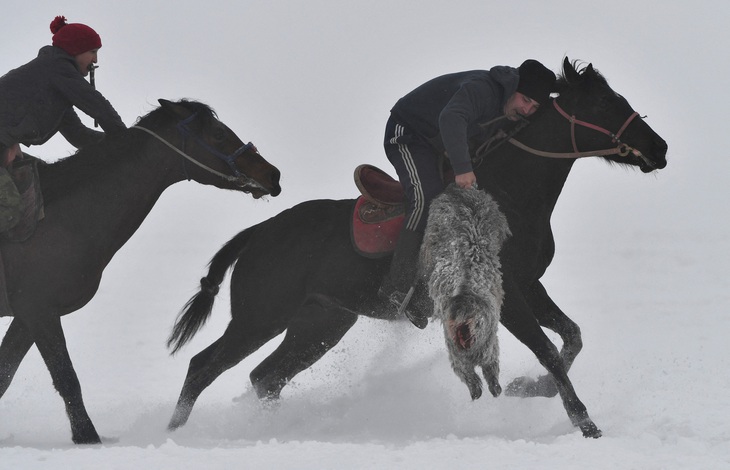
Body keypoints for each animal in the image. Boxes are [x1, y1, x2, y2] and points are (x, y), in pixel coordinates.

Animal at [0, 97, 282, 442]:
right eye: (217, 133)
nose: (272, 174)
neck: (59, 219)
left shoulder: (31, 316)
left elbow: (5, 375)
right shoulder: (38, 310)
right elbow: (67, 378)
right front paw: (87, 437)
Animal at [168, 60, 668, 438]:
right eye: (603, 103)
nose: (659, 147)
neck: (508, 195)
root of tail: (259, 232)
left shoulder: (528, 286)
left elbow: (571, 337)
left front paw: (531, 387)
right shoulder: (505, 297)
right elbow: (548, 347)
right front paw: (585, 423)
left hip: (320, 323)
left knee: (266, 377)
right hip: (260, 317)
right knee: (202, 366)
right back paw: (172, 433)